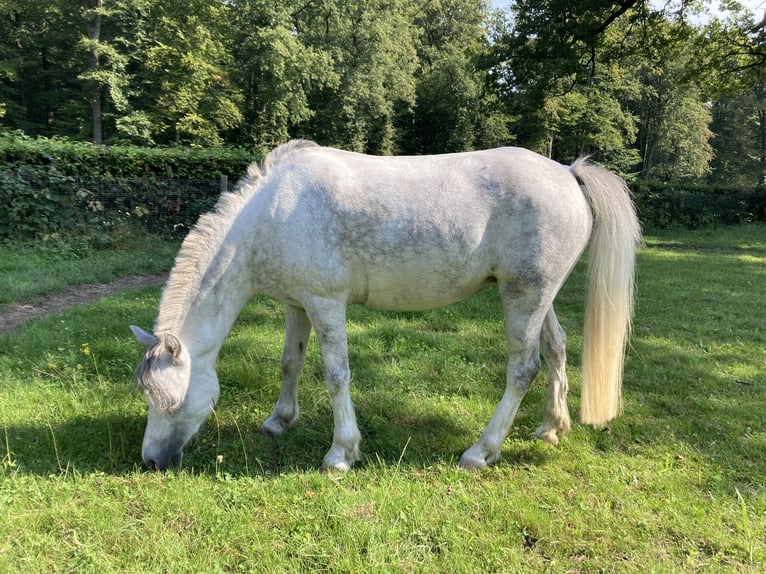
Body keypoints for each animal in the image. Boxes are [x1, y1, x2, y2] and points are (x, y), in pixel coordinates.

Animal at [130, 140, 640, 472]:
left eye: (172, 401)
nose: (152, 461)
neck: (273, 214)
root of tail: (567, 172)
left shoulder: (325, 303)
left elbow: (336, 375)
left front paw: (341, 453)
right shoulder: (298, 304)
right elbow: (290, 362)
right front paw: (279, 421)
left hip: (523, 296)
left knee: (523, 368)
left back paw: (480, 452)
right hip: (540, 297)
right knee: (556, 349)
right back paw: (552, 428)